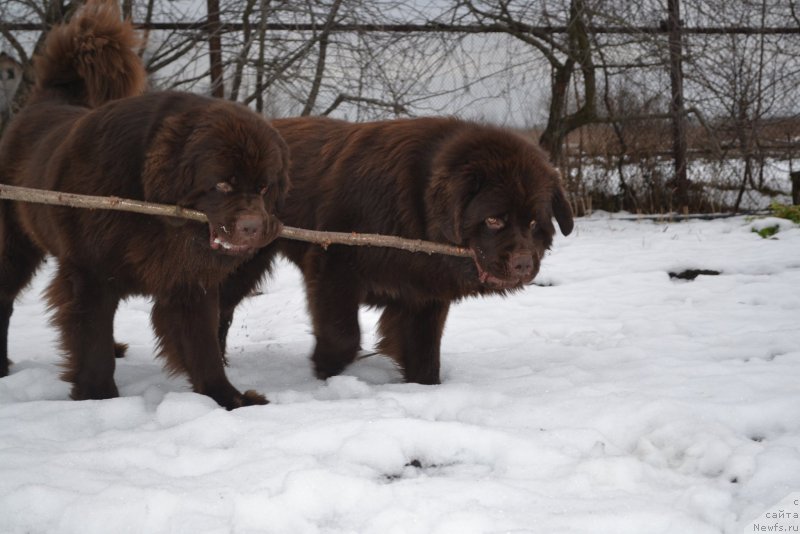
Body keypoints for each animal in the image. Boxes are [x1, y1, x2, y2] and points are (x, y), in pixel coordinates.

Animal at [0, 1, 292, 410]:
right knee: (5, 297)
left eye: (264, 187)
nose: (252, 227)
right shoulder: (90, 274)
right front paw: (99, 398)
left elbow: (203, 347)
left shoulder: (189, 279)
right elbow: (92, 342)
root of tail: (46, 101)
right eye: (221, 184)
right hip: (15, 244)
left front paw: (229, 398)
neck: (154, 209)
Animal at [217, 116, 568, 386]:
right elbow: (343, 336)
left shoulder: (424, 295)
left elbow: (424, 354)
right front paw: (326, 373)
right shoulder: (333, 265)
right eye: (494, 220)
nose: (523, 264)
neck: (414, 214)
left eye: (534, 223)